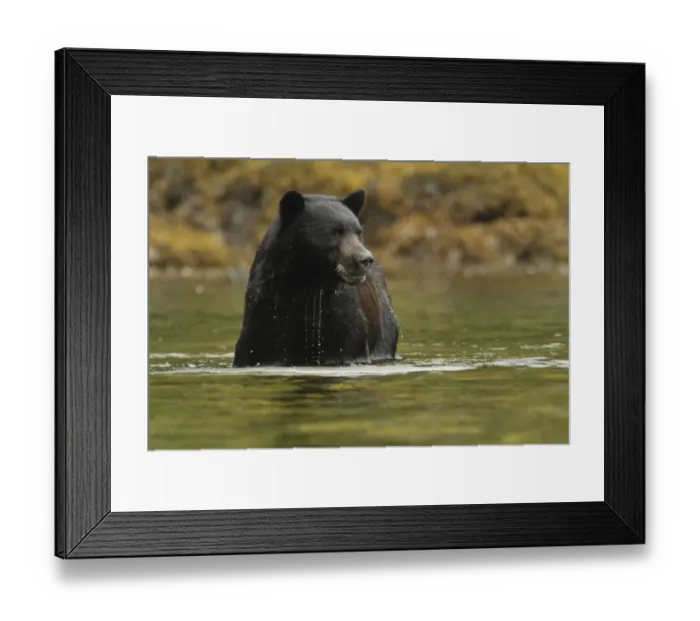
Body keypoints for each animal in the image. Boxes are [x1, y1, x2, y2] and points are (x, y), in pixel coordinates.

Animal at [232, 189, 400, 367]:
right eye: (335, 232)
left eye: (358, 232)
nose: (365, 259)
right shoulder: (264, 313)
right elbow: (253, 350)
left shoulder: (341, 316)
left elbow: (347, 344)